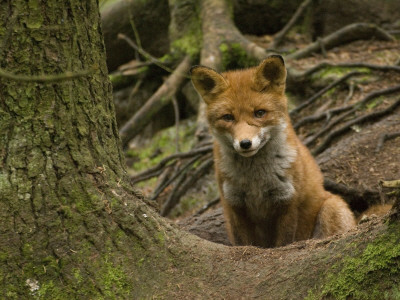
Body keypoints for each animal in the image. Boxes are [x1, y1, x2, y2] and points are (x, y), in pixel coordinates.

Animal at [191, 55, 356, 247]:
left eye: (260, 113)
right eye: (228, 117)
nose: (245, 143)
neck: (255, 181)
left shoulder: (287, 202)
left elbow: (283, 243)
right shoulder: (235, 205)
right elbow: (244, 243)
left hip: (332, 207)